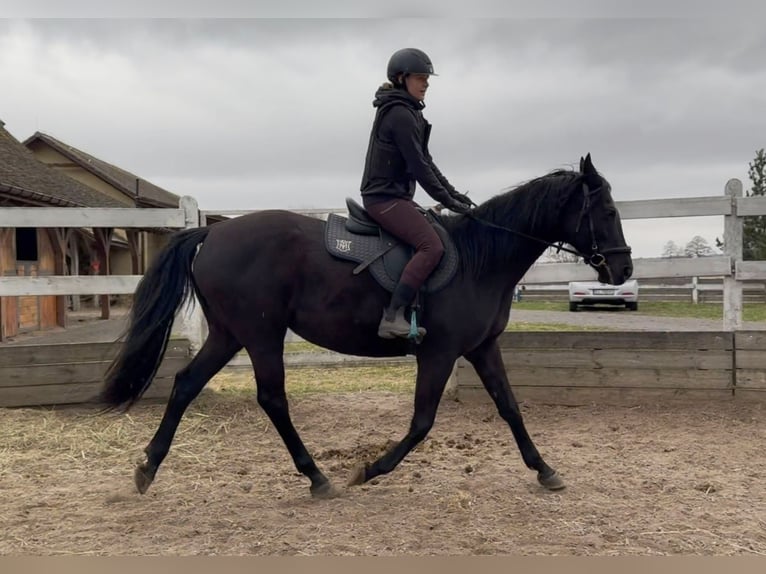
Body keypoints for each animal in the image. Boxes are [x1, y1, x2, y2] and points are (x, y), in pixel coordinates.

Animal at [99, 153, 633, 499]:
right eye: (606, 211)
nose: (623, 269)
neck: (480, 259)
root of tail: (213, 232)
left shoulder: (482, 348)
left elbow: (510, 408)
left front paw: (545, 470)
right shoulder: (439, 353)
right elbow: (422, 422)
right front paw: (370, 470)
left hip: (230, 334)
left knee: (186, 384)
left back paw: (147, 469)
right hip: (261, 336)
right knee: (272, 399)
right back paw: (318, 478)